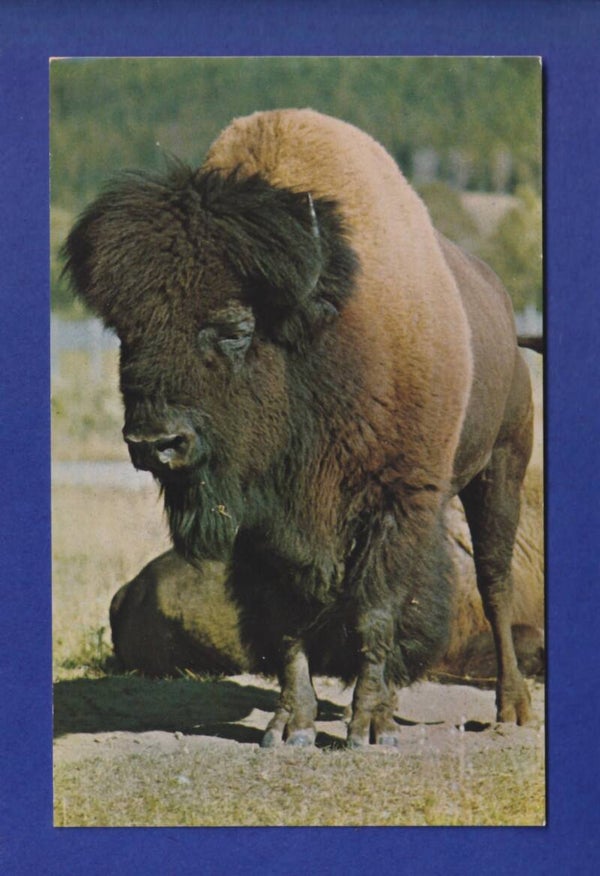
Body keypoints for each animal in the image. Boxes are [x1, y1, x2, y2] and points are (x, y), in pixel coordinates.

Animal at [64, 109, 534, 747]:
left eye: (235, 328)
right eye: (125, 332)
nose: (156, 443)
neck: (322, 336)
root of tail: (504, 309)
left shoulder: (395, 500)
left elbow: (376, 609)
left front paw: (369, 727)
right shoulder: (261, 531)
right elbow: (286, 623)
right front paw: (292, 724)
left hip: (500, 467)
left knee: (494, 581)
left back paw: (512, 708)